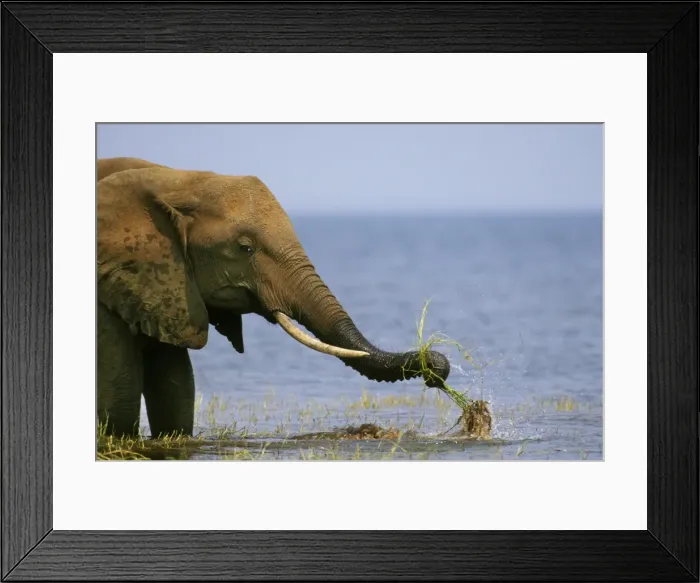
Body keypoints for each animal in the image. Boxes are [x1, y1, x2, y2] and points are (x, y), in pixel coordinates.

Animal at [97, 157, 450, 437]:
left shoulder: (164, 290)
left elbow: (176, 389)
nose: (436, 371)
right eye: (245, 248)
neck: (175, 180)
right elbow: (121, 400)